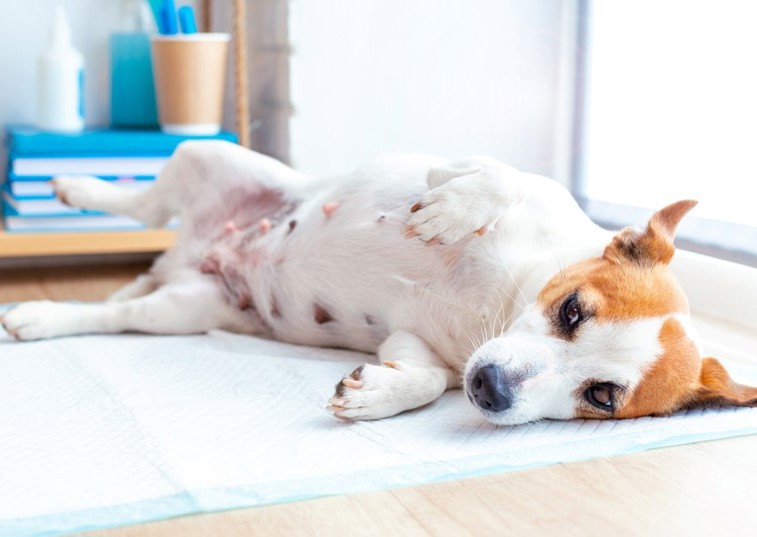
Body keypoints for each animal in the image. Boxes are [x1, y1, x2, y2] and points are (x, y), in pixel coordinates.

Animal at [2, 140, 752, 426]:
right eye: (571, 309)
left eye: (601, 396)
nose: (490, 388)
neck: (499, 301)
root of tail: (194, 250)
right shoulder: (477, 168)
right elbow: (497, 177)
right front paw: (453, 211)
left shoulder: (413, 344)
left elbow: (424, 378)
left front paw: (375, 395)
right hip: (210, 154)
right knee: (147, 203)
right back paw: (76, 187)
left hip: (188, 306)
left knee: (117, 313)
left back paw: (42, 315)